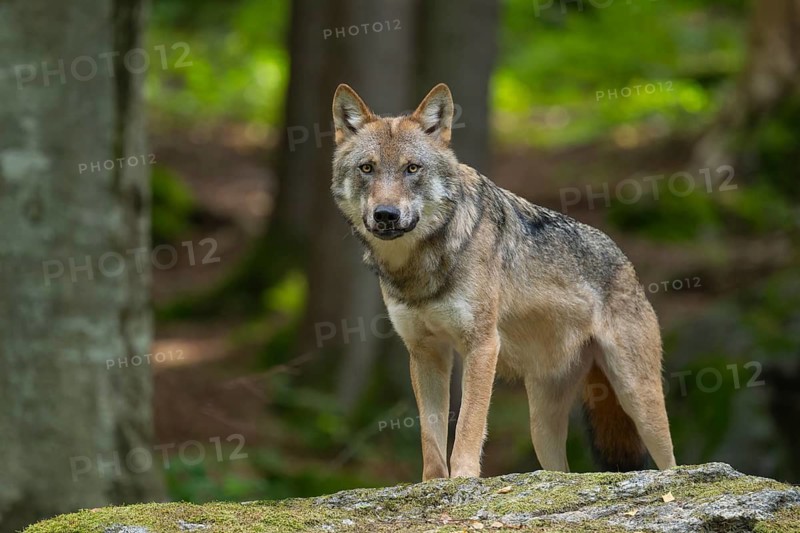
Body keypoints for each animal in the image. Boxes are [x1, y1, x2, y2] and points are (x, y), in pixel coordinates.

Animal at [330, 83, 676, 479]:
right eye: (367, 168)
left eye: (412, 168)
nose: (385, 214)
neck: (419, 269)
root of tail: (626, 262)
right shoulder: (425, 352)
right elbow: (431, 438)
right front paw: (432, 484)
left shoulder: (482, 346)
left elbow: (469, 424)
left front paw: (463, 479)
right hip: (541, 427)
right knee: (561, 470)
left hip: (639, 400)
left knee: (671, 462)